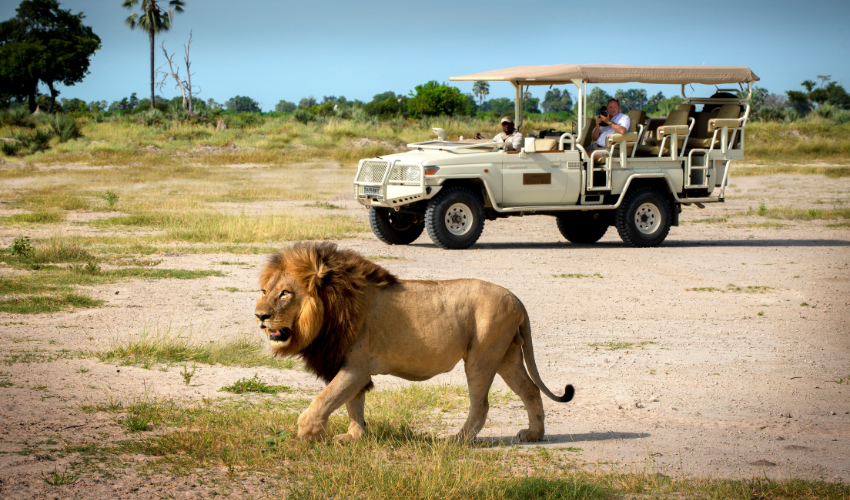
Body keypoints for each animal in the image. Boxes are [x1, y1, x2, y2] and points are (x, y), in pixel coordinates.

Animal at [255, 241, 573, 443]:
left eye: (285, 293)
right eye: (264, 291)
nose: (260, 315)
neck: (331, 308)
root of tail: (517, 299)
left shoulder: (356, 367)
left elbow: (326, 399)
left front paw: (308, 434)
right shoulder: (351, 366)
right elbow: (352, 403)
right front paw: (354, 437)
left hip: (482, 355)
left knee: (481, 403)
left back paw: (457, 440)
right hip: (507, 355)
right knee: (530, 390)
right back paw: (533, 435)